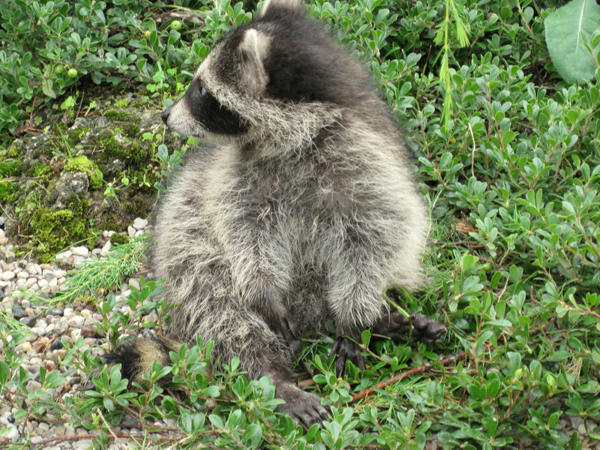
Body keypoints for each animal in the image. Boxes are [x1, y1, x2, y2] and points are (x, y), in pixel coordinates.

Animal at [109, 0, 446, 428]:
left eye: (202, 89)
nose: (166, 114)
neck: (296, 134)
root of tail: (310, 317)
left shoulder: (366, 162)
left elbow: (376, 237)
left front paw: (355, 317)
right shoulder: (234, 180)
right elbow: (245, 234)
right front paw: (264, 292)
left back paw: (382, 319)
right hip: (185, 253)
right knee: (220, 303)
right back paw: (271, 375)